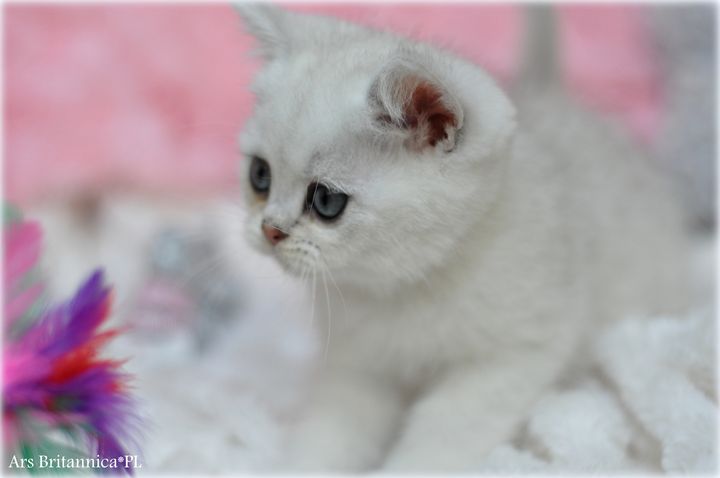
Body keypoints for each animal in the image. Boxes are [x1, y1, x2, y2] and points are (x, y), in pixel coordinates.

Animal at [226, 4, 690, 472]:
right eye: (260, 176)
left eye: (325, 200)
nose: (269, 230)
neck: (406, 288)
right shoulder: (358, 365)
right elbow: (333, 431)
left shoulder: (512, 356)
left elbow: (445, 434)